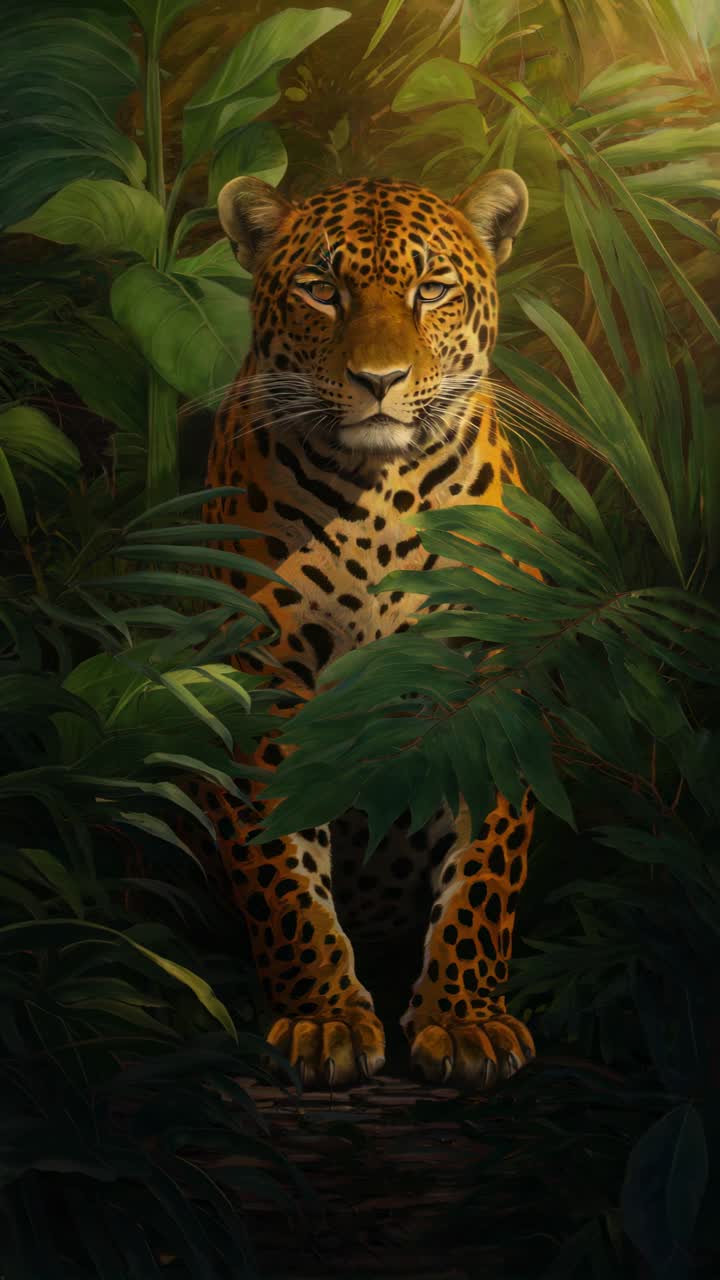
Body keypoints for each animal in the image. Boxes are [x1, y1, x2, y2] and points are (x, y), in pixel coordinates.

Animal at [195, 168, 538, 1091]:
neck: (383, 493)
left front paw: (464, 1020)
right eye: (322, 289)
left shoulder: (487, 684)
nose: (379, 378)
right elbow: (282, 874)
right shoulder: (264, 686)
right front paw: (324, 1017)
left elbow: (483, 881)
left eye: (432, 290)